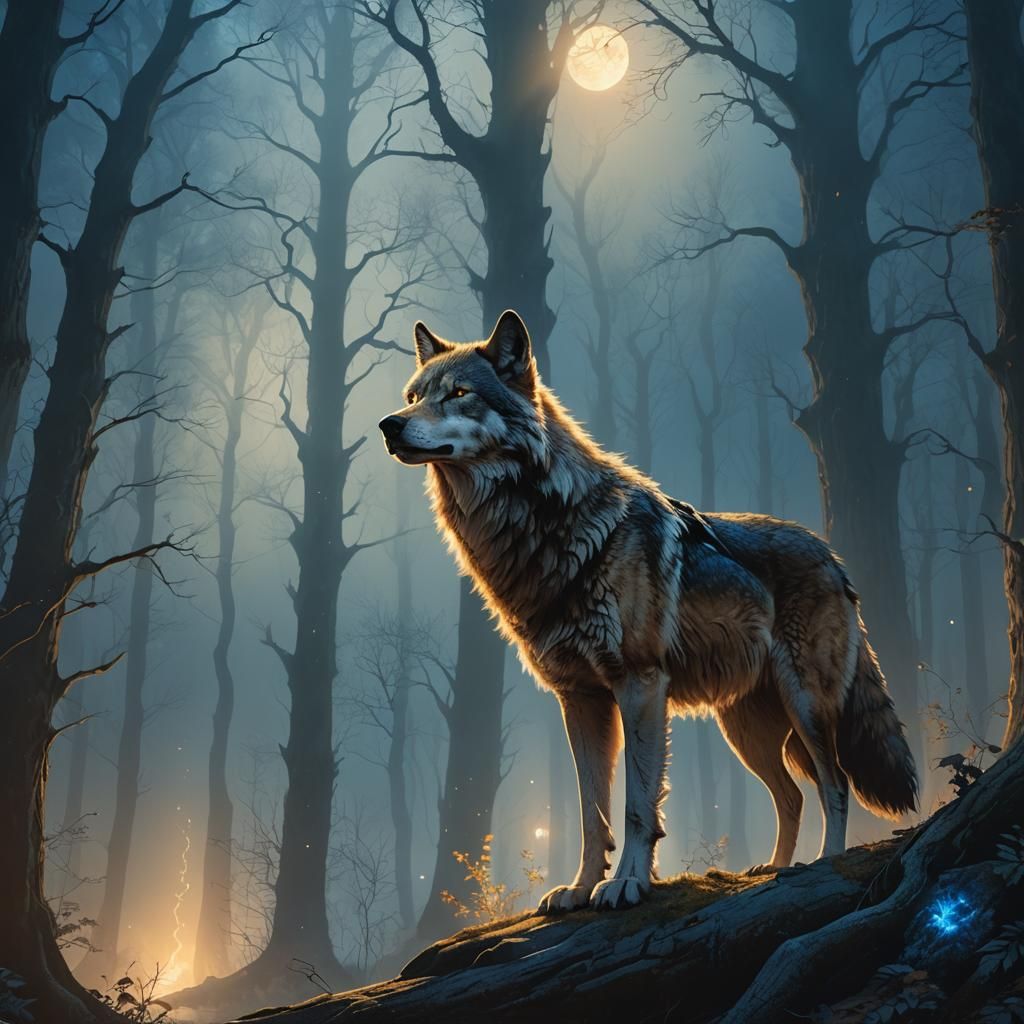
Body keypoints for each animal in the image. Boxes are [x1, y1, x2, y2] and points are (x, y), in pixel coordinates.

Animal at [378, 309, 918, 912]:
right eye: (413, 396)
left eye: (459, 394)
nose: (388, 425)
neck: (552, 527)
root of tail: (833, 557)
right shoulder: (579, 699)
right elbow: (591, 813)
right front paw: (580, 888)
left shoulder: (639, 685)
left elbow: (638, 805)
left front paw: (627, 883)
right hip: (746, 732)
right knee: (792, 796)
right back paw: (774, 869)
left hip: (805, 707)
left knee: (835, 784)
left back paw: (823, 863)